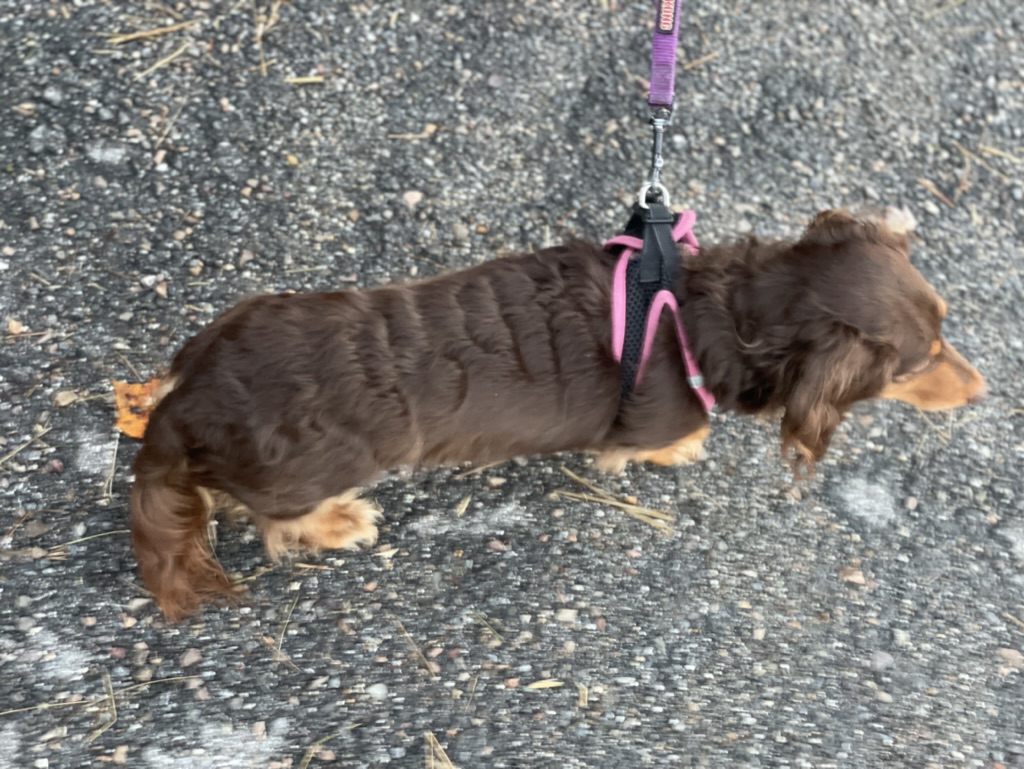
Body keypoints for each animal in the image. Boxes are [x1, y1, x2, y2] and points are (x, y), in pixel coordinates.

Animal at [129, 208, 986, 619]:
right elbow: (668, 440)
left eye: (944, 322)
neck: (708, 316)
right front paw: (681, 451)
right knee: (279, 523)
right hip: (309, 473)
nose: (981, 390)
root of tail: (185, 404)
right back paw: (342, 520)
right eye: (919, 361)